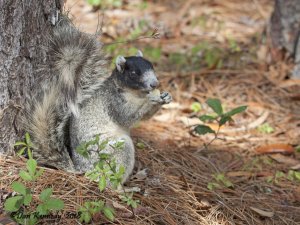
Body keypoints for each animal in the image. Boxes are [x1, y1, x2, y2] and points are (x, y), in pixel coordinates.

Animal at [22, 15, 172, 182]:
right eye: (134, 73)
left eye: (152, 67)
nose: (155, 84)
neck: (135, 93)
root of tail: (82, 169)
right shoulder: (113, 101)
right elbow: (127, 117)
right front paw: (151, 100)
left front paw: (165, 97)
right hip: (115, 151)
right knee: (110, 179)